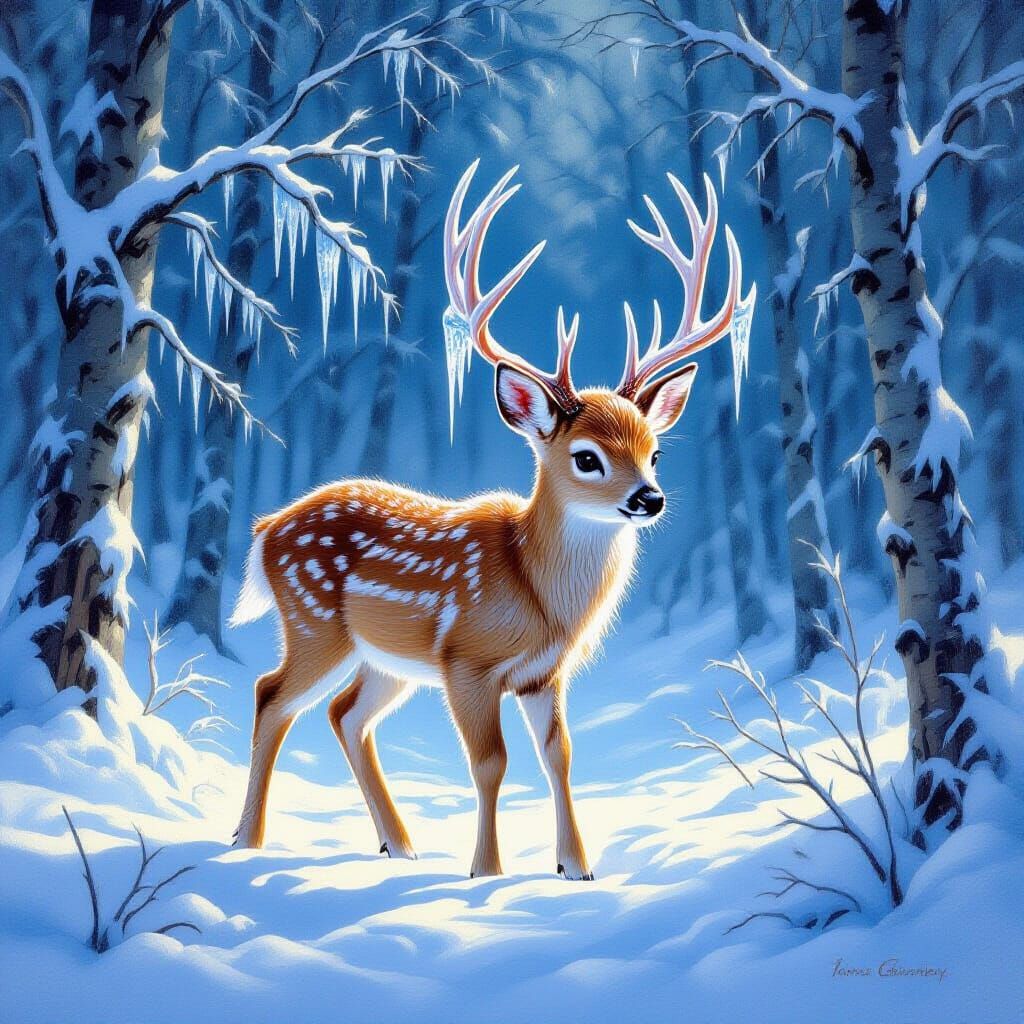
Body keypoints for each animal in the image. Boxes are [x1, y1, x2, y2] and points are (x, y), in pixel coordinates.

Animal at [229, 161, 753, 879]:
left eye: (655, 450)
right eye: (587, 457)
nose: (650, 498)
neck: (538, 595)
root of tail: (264, 530)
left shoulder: (544, 673)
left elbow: (559, 757)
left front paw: (577, 867)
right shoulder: (467, 661)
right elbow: (489, 762)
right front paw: (488, 869)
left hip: (385, 658)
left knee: (344, 714)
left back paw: (400, 844)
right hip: (315, 624)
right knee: (270, 694)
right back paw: (246, 841)